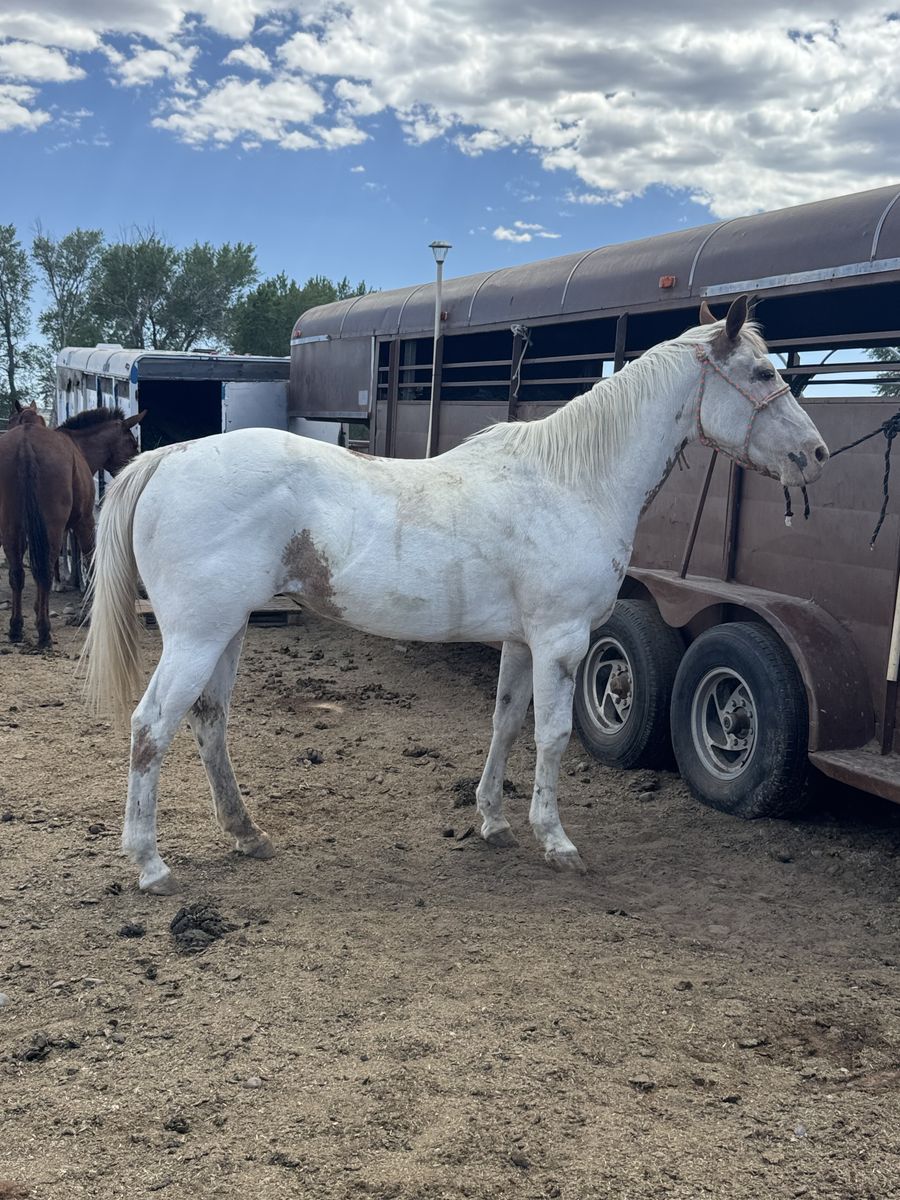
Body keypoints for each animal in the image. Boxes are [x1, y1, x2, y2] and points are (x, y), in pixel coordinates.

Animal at [0, 402, 144, 648]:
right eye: (133, 444)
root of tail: (26, 444)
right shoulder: (84, 521)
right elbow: (90, 563)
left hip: (11, 525)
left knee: (17, 573)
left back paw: (16, 628)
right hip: (52, 525)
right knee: (44, 571)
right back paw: (44, 631)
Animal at [83, 297, 829, 894]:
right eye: (764, 374)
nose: (817, 454)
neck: (571, 482)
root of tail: (169, 457)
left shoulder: (523, 641)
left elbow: (507, 724)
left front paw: (493, 821)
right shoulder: (562, 639)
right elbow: (554, 735)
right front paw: (556, 840)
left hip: (228, 631)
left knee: (209, 722)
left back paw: (246, 833)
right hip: (197, 635)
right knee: (151, 727)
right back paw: (150, 864)